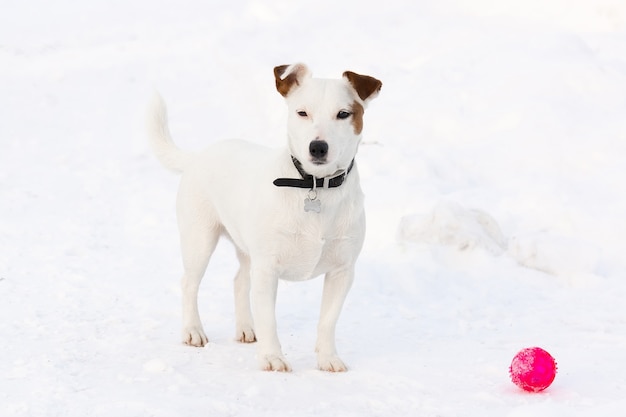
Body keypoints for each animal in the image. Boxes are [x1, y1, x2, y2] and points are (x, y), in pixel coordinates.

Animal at [147, 64, 380, 370]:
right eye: (302, 113)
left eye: (343, 114)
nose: (317, 147)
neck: (314, 185)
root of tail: (197, 156)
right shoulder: (268, 269)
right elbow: (269, 319)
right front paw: (272, 357)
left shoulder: (342, 271)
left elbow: (328, 321)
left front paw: (328, 358)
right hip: (199, 239)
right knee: (189, 283)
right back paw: (193, 330)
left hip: (247, 250)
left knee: (239, 281)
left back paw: (246, 327)